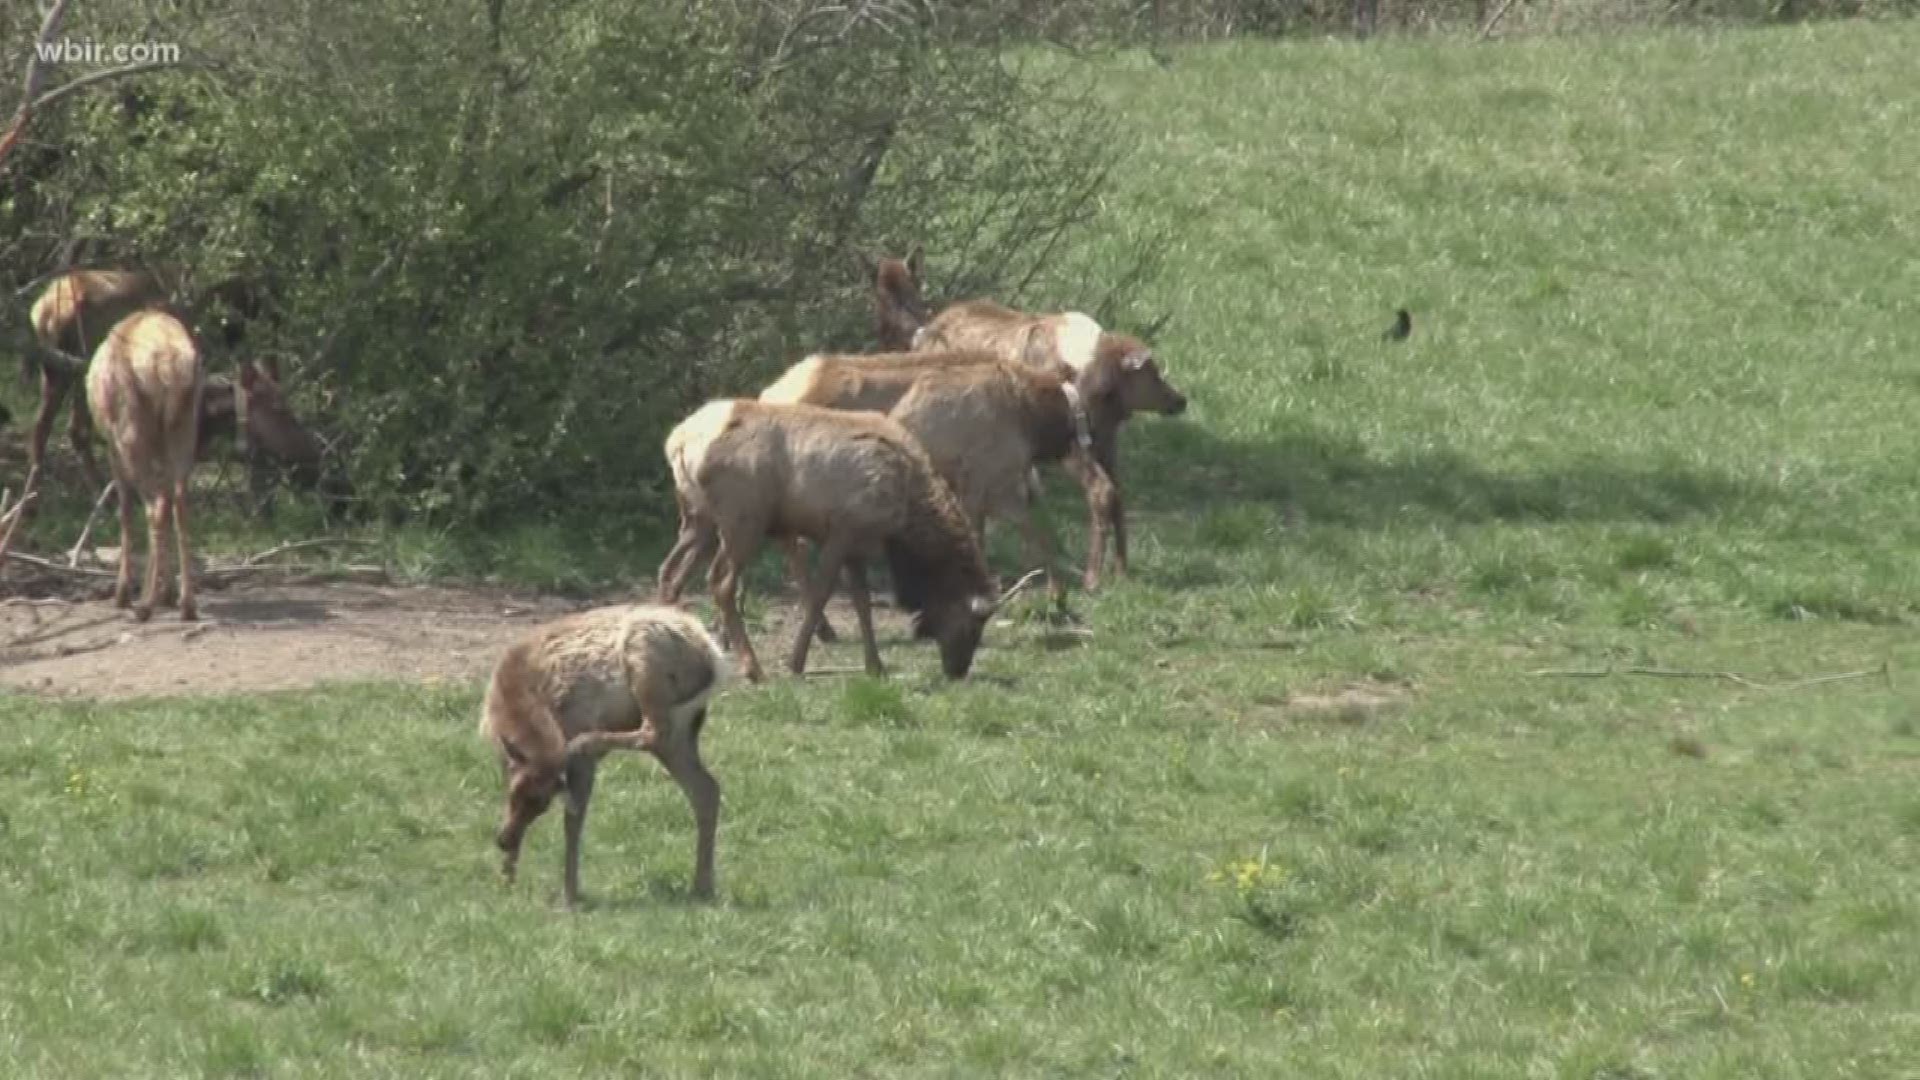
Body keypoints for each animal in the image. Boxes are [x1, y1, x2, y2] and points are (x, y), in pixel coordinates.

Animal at [86, 307, 204, 618]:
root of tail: (171, 364)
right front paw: (168, 592)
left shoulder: (112, 445)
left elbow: (125, 511)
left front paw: (123, 593)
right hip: (183, 428)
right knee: (178, 501)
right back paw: (186, 603)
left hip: (130, 430)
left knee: (156, 506)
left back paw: (144, 603)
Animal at [480, 599, 733, 903]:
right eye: (514, 793)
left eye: (542, 805)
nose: (504, 840)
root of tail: (713, 661)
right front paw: (507, 881)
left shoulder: (575, 750)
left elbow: (573, 820)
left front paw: (569, 895)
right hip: (680, 734)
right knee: (705, 788)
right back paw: (703, 886)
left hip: (645, 659)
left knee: (652, 732)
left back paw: (586, 741)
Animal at [652, 395, 1036, 680]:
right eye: (972, 627)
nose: (958, 671)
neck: (905, 516)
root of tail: (678, 441)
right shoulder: (841, 531)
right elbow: (820, 595)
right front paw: (795, 663)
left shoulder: (858, 547)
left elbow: (862, 603)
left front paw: (876, 666)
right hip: (743, 519)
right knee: (719, 582)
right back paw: (753, 668)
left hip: (698, 520)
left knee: (670, 572)